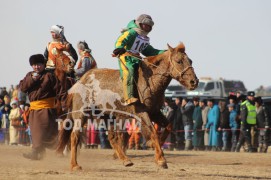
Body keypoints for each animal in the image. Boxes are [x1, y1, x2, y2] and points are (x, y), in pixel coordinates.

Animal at [56, 42, 199, 170]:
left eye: (190, 61)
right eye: (179, 61)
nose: (194, 82)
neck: (150, 81)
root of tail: (79, 82)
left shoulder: (154, 112)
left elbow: (168, 126)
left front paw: (154, 147)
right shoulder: (141, 112)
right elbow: (152, 131)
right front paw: (161, 159)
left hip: (107, 116)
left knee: (112, 137)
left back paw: (126, 160)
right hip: (81, 114)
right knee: (75, 136)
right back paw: (74, 165)